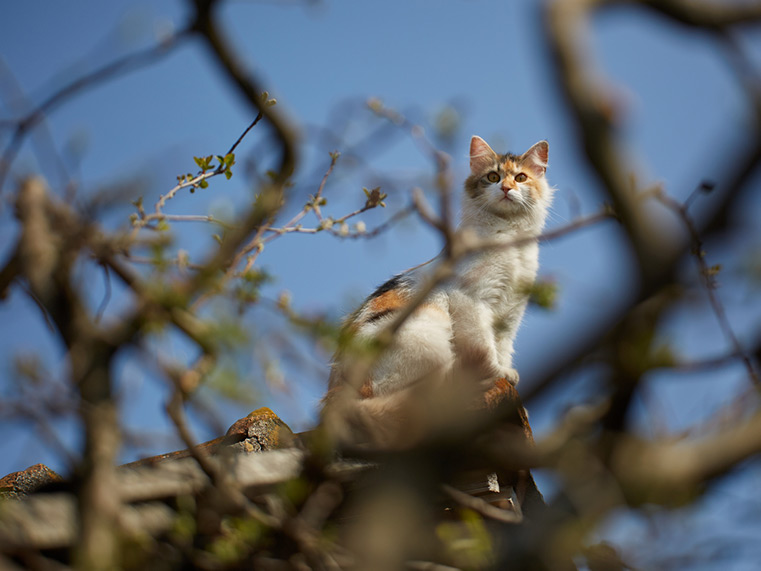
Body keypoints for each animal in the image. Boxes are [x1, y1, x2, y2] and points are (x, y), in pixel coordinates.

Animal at [320, 136, 552, 450]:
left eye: (520, 178)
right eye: (493, 177)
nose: (506, 188)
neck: (511, 242)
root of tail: (336, 393)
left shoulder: (510, 313)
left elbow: (503, 348)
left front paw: (510, 380)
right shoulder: (471, 300)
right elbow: (484, 347)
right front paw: (496, 375)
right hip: (429, 328)